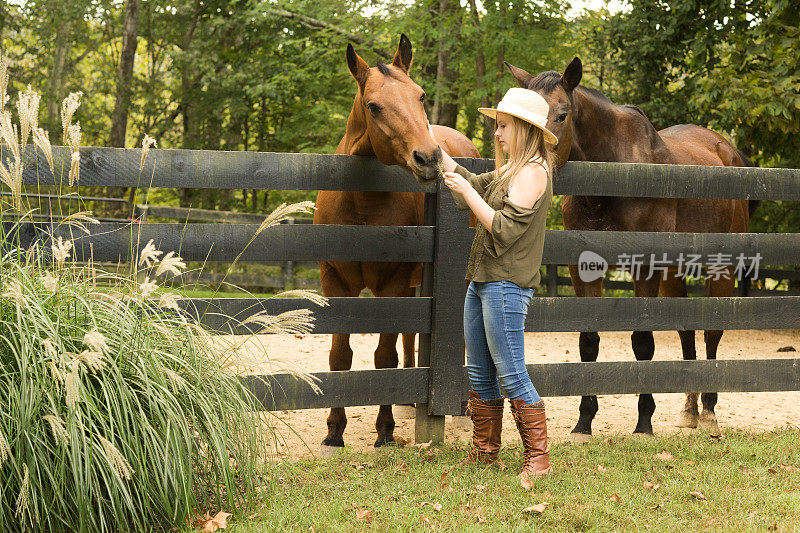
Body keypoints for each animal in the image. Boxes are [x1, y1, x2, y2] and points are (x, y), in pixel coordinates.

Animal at [312, 34, 478, 454]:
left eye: (421, 96)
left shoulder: (392, 284)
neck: (361, 206)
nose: (430, 158)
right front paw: (334, 431)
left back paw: (465, 406)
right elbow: (340, 356)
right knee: (411, 336)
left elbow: (383, 355)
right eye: (373, 105)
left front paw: (384, 430)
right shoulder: (337, 283)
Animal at [504, 57, 760, 440]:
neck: (615, 176)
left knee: (712, 333)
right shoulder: (584, 270)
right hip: (674, 273)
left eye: (562, 114)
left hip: (722, 267)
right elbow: (588, 340)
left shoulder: (644, 267)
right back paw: (690, 411)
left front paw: (644, 422)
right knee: (687, 331)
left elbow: (642, 341)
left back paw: (710, 414)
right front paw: (584, 422)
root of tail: (728, 151)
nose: (530, 161)